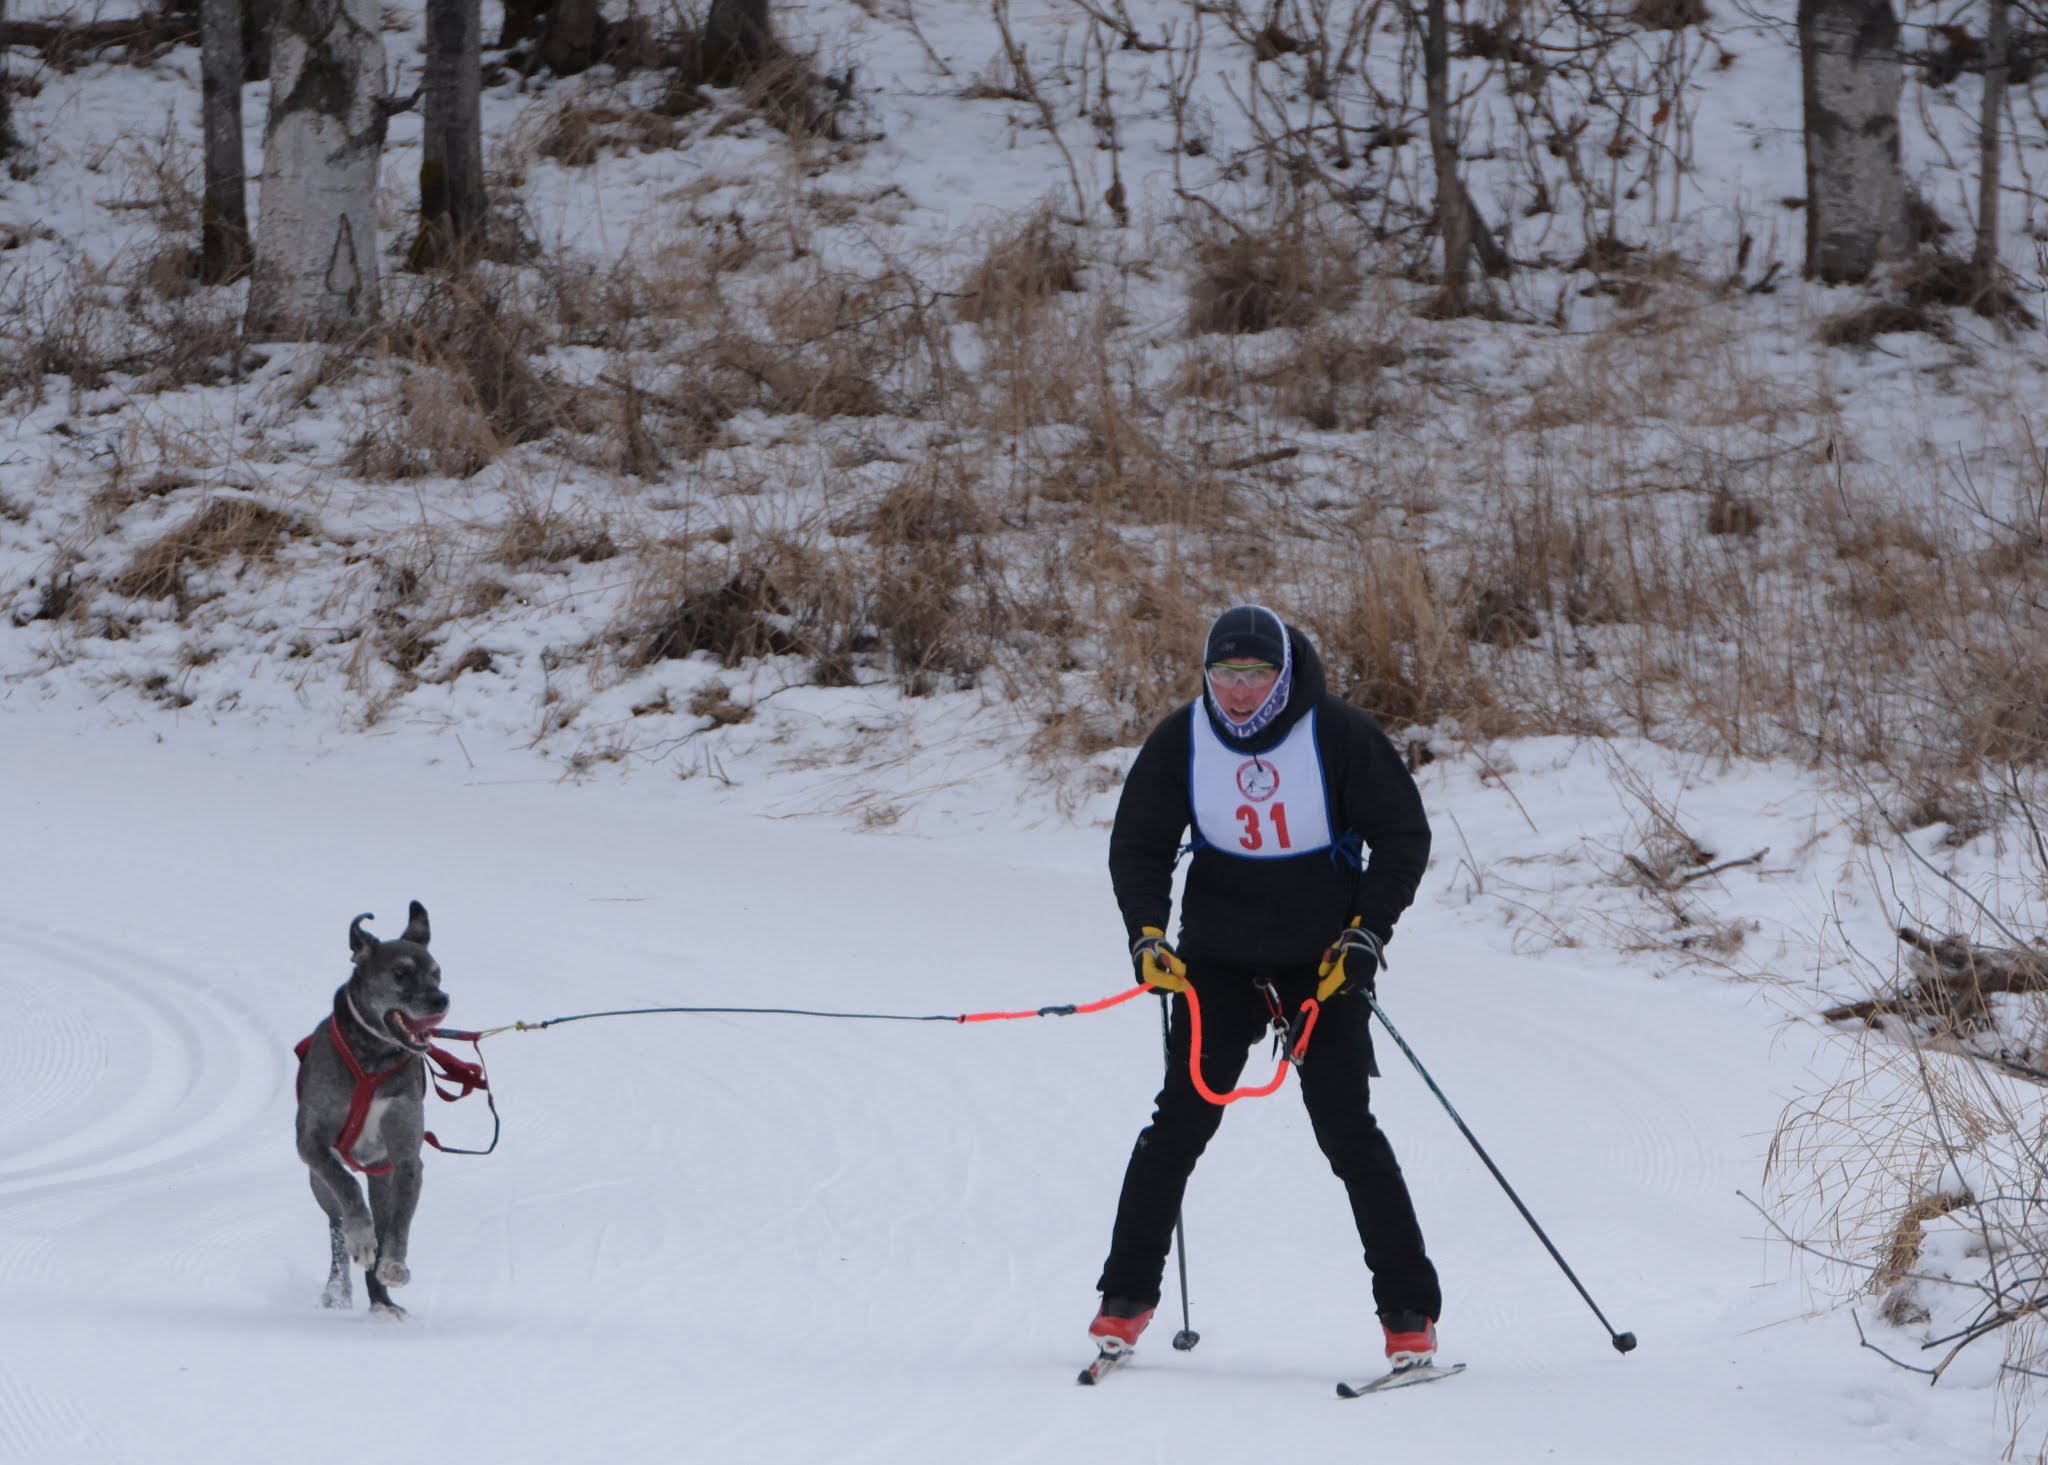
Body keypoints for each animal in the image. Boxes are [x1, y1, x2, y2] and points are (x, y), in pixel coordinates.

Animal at [294, 901, 450, 1327]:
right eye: (400, 973)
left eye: (437, 973)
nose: (441, 1000)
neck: (374, 1057)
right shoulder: (312, 1144)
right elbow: (346, 1187)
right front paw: (361, 1237)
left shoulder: (405, 1158)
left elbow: (399, 1223)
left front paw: (393, 1264)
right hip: (318, 1187)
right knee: (336, 1226)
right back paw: (339, 1287)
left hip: (381, 1178)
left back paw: (381, 1300)